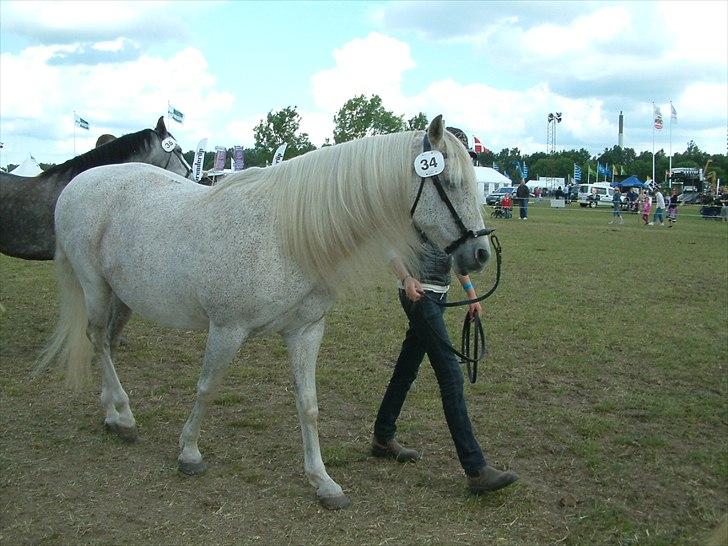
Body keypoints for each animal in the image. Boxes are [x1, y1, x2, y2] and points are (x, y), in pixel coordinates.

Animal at [34, 113, 490, 506]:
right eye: (450, 182)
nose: (481, 253)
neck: (286, 234)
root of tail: (79, 183)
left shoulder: (306, 330)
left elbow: (308, 405)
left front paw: (323, 482)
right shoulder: (226, 329)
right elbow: (207, 388)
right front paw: (189, 453)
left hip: (121, 296)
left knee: (107, 344)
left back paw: (112, 413)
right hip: (94, 286)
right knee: (97, 339)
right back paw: (124, 418)